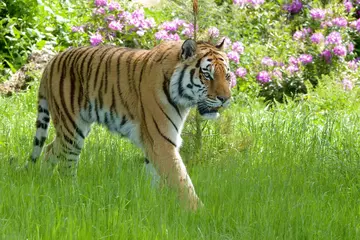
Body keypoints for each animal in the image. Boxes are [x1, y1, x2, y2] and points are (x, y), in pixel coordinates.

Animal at [27, 39, 231, 210]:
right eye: (207, 75)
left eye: (227, 76)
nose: (225, 99)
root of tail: (52, 60)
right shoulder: (161, 142)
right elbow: (182, 182)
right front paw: (199, 213)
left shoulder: (153, 144)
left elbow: (157, 179)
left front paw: (156, 206)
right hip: (72, 129)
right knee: (66, 163)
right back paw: (71, 193)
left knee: (50, 149)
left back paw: (44, 183)